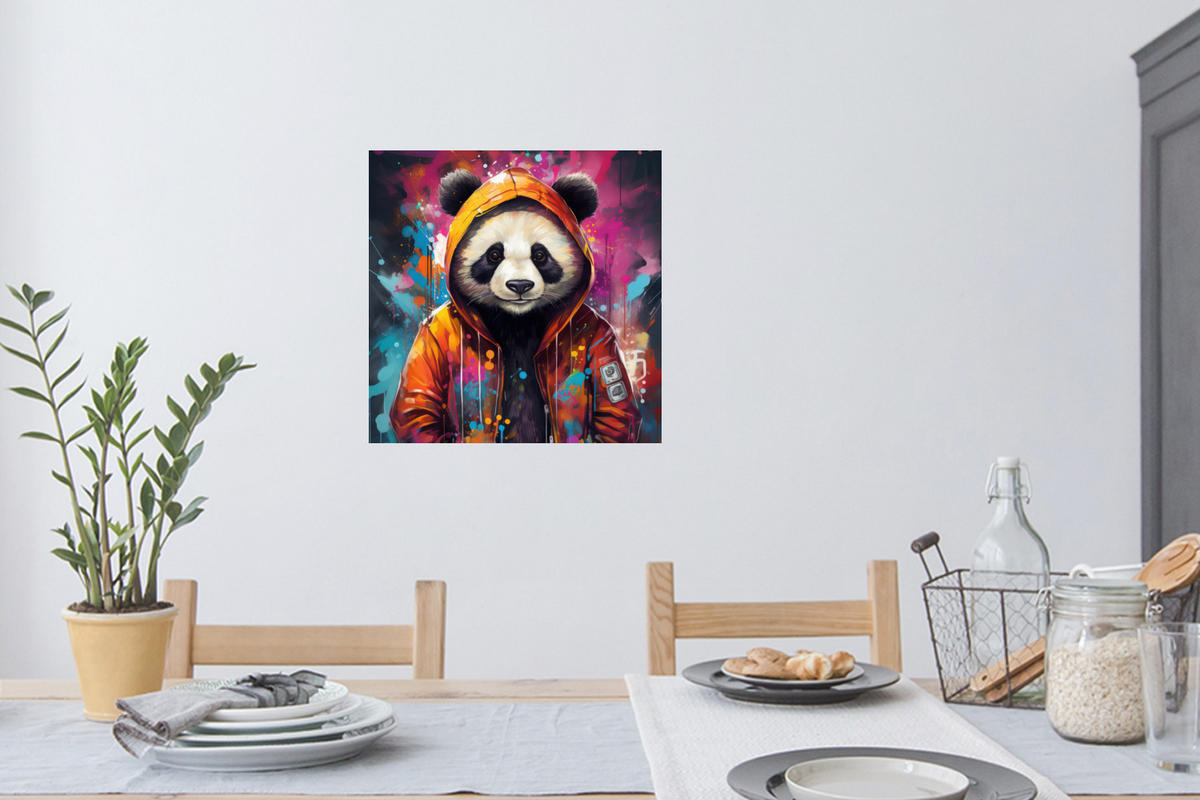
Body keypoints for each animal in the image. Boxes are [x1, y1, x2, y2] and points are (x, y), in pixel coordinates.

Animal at [390, 167, 640, 443]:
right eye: (494, 254)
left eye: (540, 255)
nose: (520, 285)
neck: (517, 319)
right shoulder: (434, 332)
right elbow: (420, 403)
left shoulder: (599, 332)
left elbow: (612, 408)